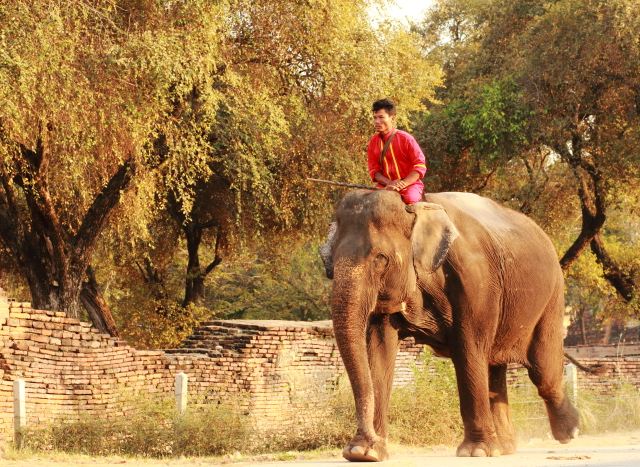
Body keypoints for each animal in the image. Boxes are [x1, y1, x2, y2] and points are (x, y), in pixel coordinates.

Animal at [320, 189, 580, 460]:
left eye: (381, 258)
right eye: (329, 263)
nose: (367, 438)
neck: (416, 209)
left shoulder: (476, 281)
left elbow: (469, 349)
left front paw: (475, 452)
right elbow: (380, 350)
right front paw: (365, 452)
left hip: (551, 297)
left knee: (543, 370)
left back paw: (569, 432)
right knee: (496, 367)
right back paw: (506, 447)